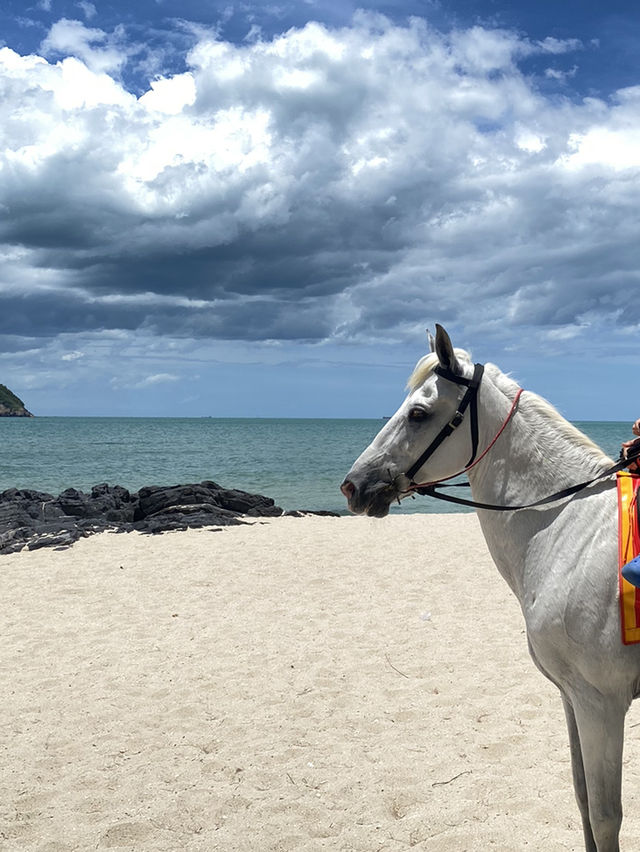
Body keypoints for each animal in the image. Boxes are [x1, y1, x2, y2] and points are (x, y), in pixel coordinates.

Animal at [342, 324, 636, 852]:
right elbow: (583, 799)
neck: (566, 526)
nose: (353, 486)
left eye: (418, 413)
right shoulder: (573, 698)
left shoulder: (601, 703)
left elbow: (605, 816)